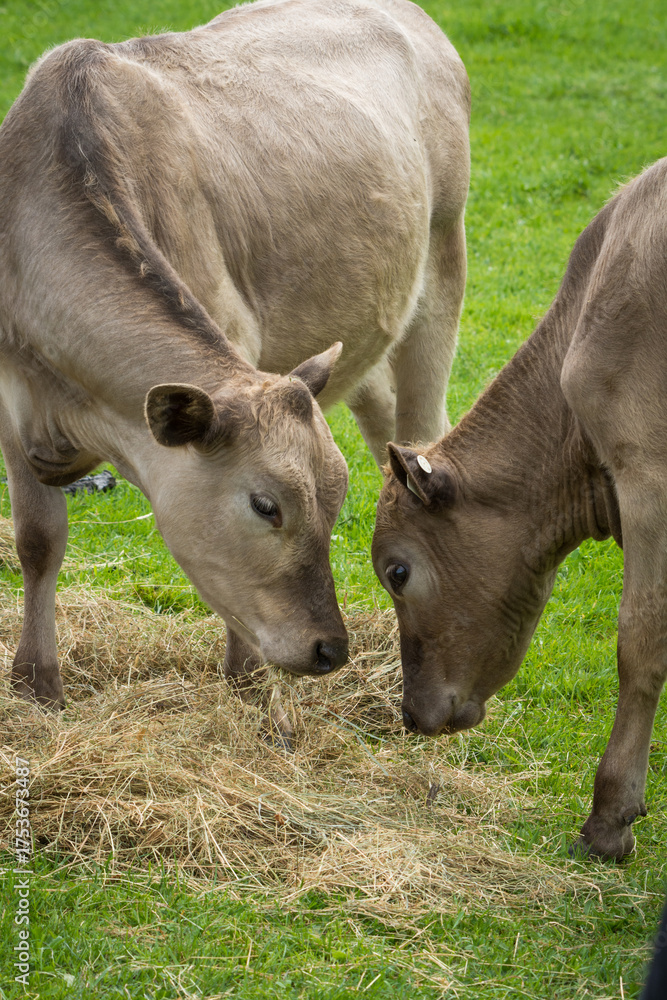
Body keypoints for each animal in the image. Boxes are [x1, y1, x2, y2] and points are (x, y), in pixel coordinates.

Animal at [0, 0, 470, 734]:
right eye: (265, 506)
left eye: (330, 502)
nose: (331, 648)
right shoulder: (13, 401)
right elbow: (38, 538)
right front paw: (36, 684)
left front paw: (246, 679)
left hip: (443, 269)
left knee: (424, 431)